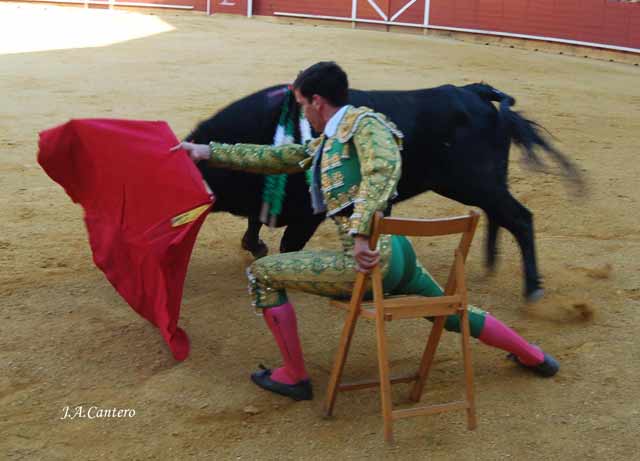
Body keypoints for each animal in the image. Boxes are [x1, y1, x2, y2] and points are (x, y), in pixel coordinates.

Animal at [186, 82, 584, 302]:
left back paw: (532, 288)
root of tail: (476, 92)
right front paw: (255, 245)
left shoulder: (308, 215)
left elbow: (287, 245)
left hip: (476, 182)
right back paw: (489, 263)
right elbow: (255, 224)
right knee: (498, 215)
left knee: (520, 217)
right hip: (482, 184)